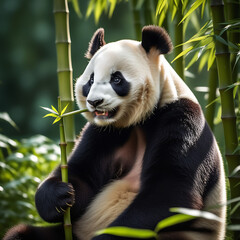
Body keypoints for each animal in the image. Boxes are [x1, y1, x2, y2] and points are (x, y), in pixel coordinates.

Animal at [3, 25, 225, 239]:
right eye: (91, 80)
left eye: (117, 79)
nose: (95, 102)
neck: (141, 122)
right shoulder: (104, 132)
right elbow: (82, 173)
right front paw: (59, 195)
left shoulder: (182, 120)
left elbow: (170, 193)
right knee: (21, 233)